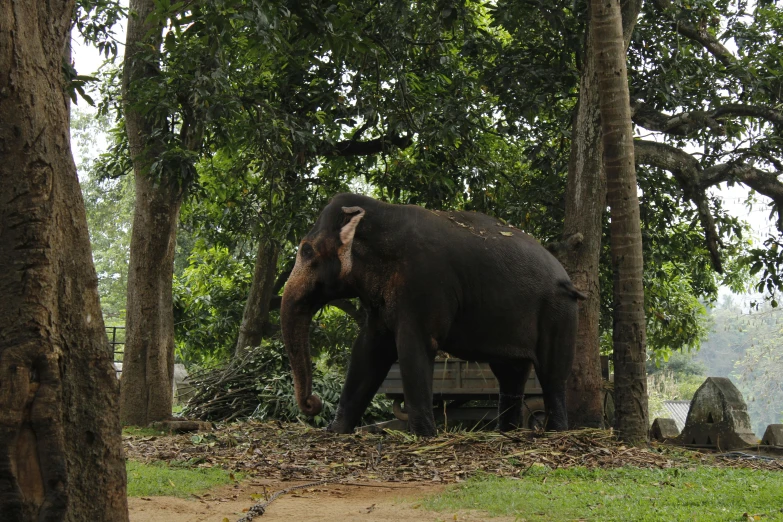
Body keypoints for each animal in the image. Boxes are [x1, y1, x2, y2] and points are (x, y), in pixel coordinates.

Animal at [280, 192, 580, 434]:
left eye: (306, 251)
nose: (313, 403)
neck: (382, 214)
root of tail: (566, 276)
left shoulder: (423, 282)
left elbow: (413, 346)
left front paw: (423, 435)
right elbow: (368, 350)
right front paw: (335, 431)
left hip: (559, 312)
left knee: (551, 374)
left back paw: (553, 431)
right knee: (510, 372)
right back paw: (505, 432)